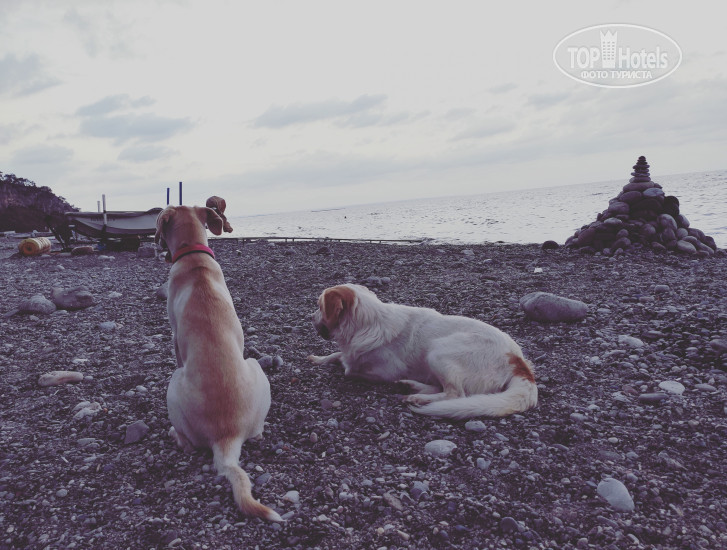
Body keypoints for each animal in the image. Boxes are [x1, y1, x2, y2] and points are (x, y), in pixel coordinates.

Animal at [155, 205, 281, 522]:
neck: (193, 255)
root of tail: (226, 438)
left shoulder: (175, 337)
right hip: (257, 370)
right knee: (258, 432)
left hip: (175, 383)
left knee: (188, 444)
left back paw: (175, 435)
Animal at [308, 284, 537, 419]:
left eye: (319, 306)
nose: (310, 317)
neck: (367, 324)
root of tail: (518, 362)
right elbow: (339, 355)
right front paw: (319, 358)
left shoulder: (386, 371)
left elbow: (349, 369)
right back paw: (411, 387)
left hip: (438, 351)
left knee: (455, 394)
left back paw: (417, 397)